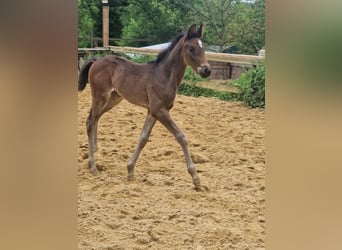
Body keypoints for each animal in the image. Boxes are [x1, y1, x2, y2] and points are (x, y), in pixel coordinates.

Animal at [78, 24, 211, 190]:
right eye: (191, 48)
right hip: (100, 96)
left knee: (96, 117)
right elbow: (181, 137)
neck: (164, 75)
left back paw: (95, 150)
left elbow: (143, 138)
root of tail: (97, 60)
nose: (206, 70)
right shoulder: (160, 110)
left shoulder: (152, 112)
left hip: (114, 98)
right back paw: (93, 166)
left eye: (203, 47)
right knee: (90, 121)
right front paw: (195, 178)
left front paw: (130, 170)